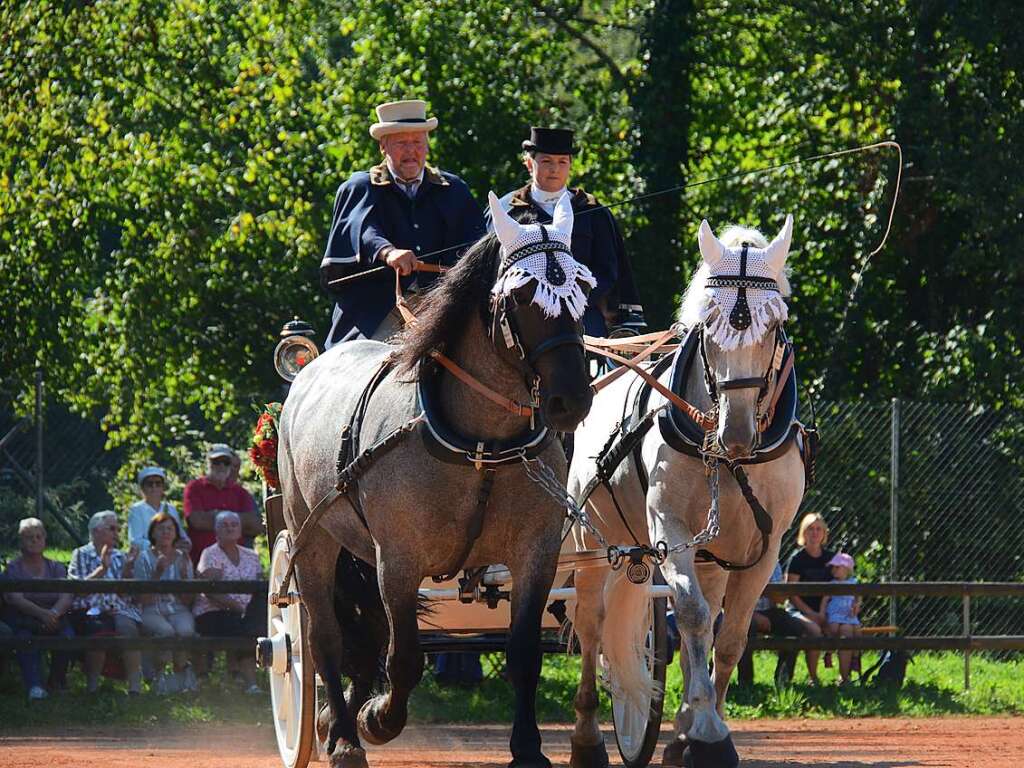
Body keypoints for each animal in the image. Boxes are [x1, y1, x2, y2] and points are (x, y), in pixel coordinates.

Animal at [280, 193, 598, 768]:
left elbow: (523, 653)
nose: (571, 399)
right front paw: (377, 719)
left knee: (364, 634)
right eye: (523, 295)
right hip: (311, 537)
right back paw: (344, 735)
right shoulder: (399, 560)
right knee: (325, 637)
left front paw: (529, 748)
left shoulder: (535, 554)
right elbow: (404, 657)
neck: (481, 447)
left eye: (583, 290)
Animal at [569, 218, 806, 768]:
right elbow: (693, 616)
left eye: (774, 325)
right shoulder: (669, 531)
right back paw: (588, 737)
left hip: (712, 555)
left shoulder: (764, 549)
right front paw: (706, 731)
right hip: (591, 543)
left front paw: (702, 726)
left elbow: (731, 635)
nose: (736, 433)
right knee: (592, 624)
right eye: (708, 321)